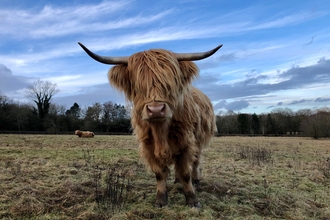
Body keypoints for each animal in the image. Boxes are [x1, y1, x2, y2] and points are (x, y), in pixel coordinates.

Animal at [77, 41, 222, 208]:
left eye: (169, 83)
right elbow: (159, 174)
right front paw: (160, 200)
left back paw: (196, 180)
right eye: (138, 86)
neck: (161, 132)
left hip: (199, 140)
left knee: (196, 161)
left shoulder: (186, 143)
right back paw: (176, 180)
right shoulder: (148, 146)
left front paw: (192, 200)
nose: (156, 110)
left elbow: (186, 173)